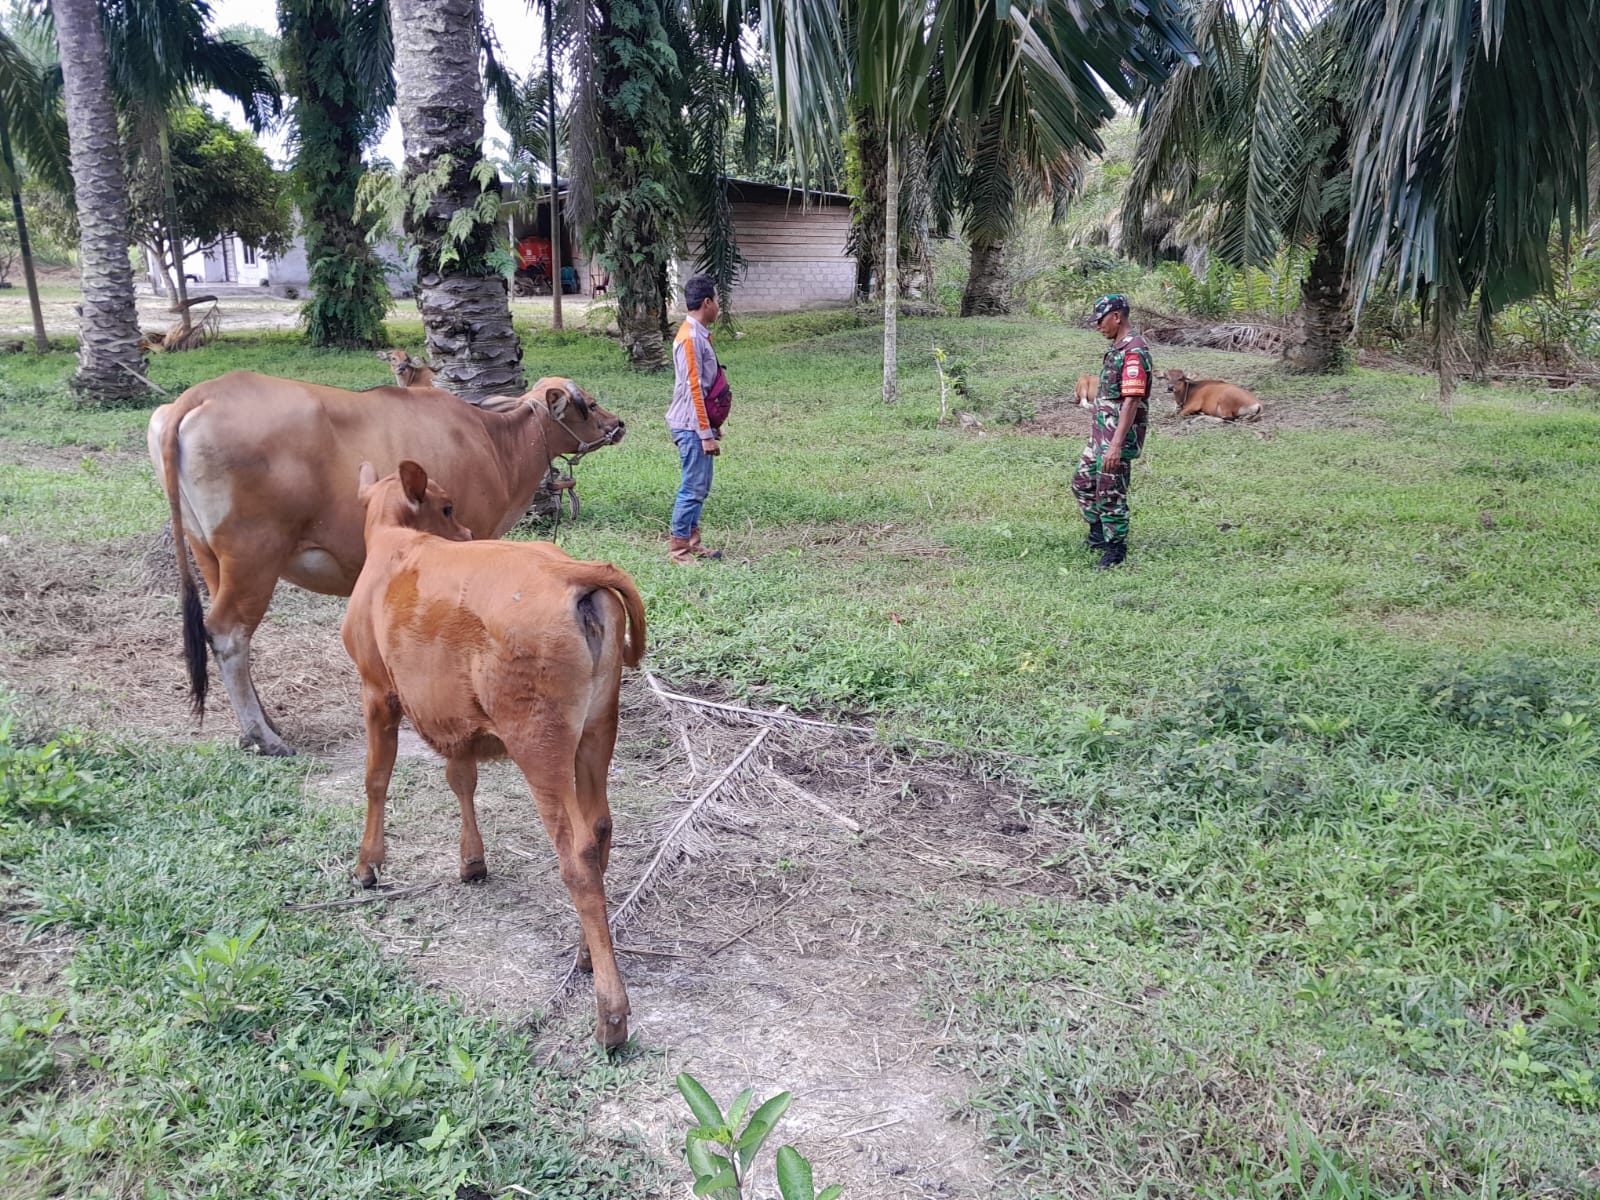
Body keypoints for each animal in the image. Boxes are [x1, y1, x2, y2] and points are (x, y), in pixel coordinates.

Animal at [147, 371, 624, 755]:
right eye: (590, 403)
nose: (618, 424)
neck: (494, 442)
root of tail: (200, 395)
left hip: (209, 556)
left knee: (227, 636)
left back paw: (264, 723)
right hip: (253, 558)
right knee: (229, 633)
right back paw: (263, 736)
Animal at [342, 464, 643, 1049]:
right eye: (447, 507)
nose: (463, 534)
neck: (393, 538)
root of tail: (570, 571)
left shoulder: (377, 689)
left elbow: (376, 777)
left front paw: (369, 864)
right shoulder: (454, 717)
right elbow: (461, 778)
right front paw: (472, 860)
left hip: (537, 738)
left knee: (576, 853)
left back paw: (610, 1015)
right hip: (598, 726)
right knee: (600, 827)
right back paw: (587, 954)